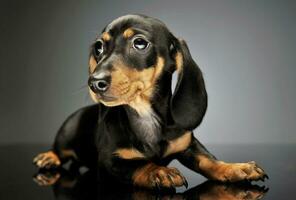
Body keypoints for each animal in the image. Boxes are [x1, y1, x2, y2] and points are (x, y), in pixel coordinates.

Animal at [33, 14, 268, 189]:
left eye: (139, 43)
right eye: (99, 47)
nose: (94, 82)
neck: (145, 115)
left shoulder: (187, 144)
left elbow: (208, 159)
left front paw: (235, 168)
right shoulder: (109, 161)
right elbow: (139, 164)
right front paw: (158, 172)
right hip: (65, 137)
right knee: (59, 150)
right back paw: (49, 157)